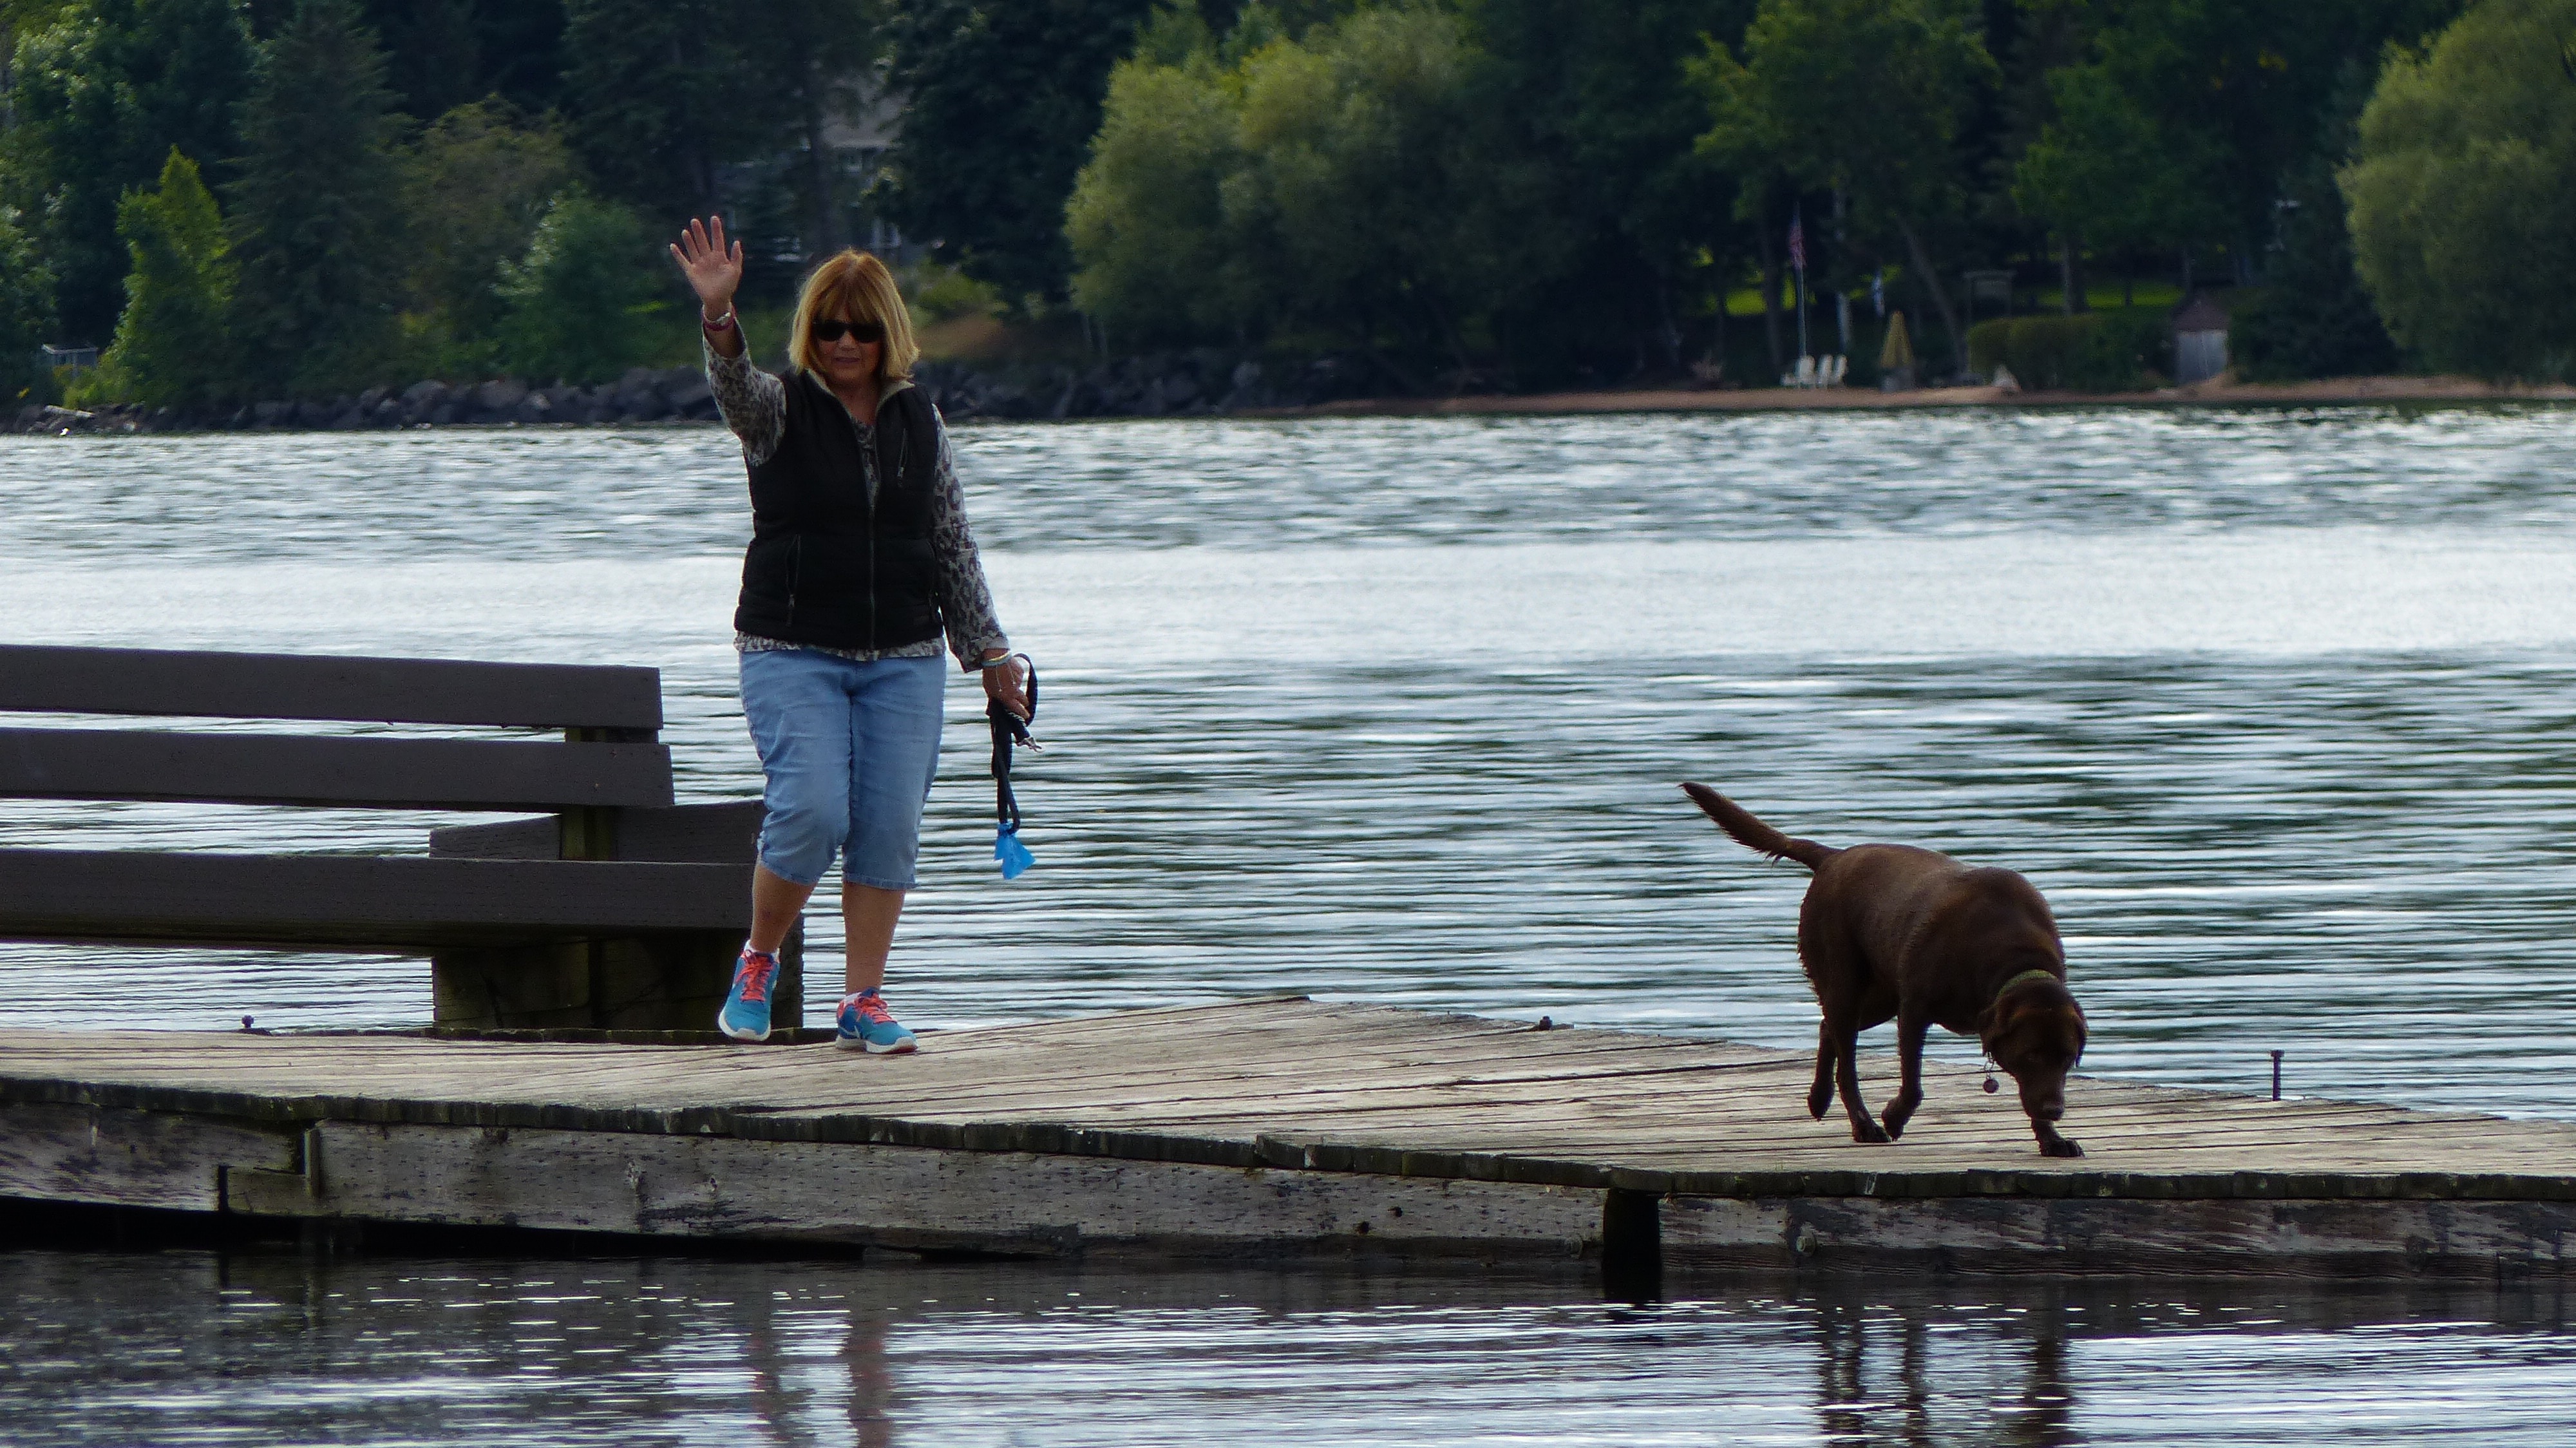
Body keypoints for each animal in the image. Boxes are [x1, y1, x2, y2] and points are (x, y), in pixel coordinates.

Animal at [1682, 783, 2088, 1158]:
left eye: (2068, 1058)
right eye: (2031, 1055)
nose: (2056, 1110)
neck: (2012, 956)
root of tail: (1833, 858)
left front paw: (2052, 1139)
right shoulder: (1915, 1010)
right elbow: (1913, 1084)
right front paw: (1894, 1117)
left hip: (1878, 997)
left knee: (1827, 1027)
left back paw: (1819, 1099)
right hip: (1846, 982)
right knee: (1846, 1063)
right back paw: (1864, 1126)